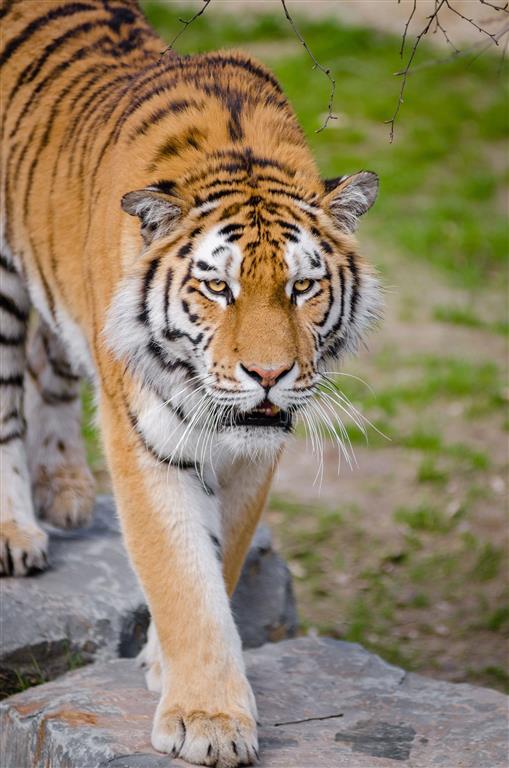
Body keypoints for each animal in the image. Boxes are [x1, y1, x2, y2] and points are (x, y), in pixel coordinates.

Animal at [0, 1, 380, 765]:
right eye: (216, 287)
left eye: (302, 287)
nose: (269, 374)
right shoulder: (143, 435)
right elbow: (180, 573)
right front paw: (209, 720)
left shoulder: (253, 452)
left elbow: (221, 558)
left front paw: (162, 663)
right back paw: (15, 533)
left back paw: (66, 491)